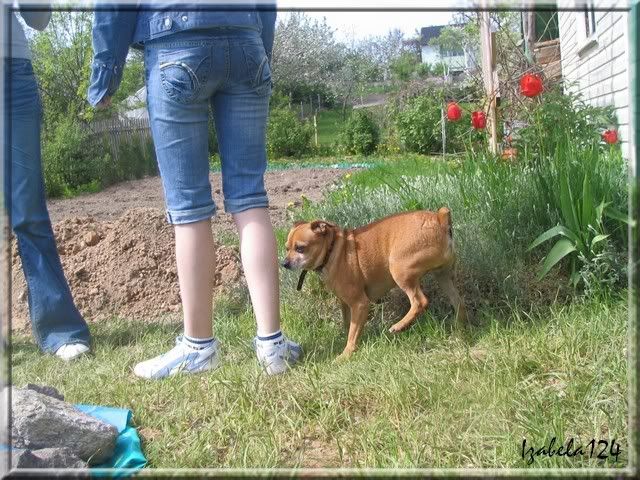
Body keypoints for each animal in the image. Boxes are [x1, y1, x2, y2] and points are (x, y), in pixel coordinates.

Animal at [282, 208, 467, 360]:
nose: (284, 263)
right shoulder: (346, 304)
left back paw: (399, 326)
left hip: (400, 270)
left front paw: (346, 354)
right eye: (286, 248)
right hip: (444, 276)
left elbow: (352, 333)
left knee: (420, 301)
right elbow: (349, 326)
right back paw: (459, 330)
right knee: (458, 302)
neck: (332, 250)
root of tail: (439, 218)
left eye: (300, 248)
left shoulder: (360, 304)